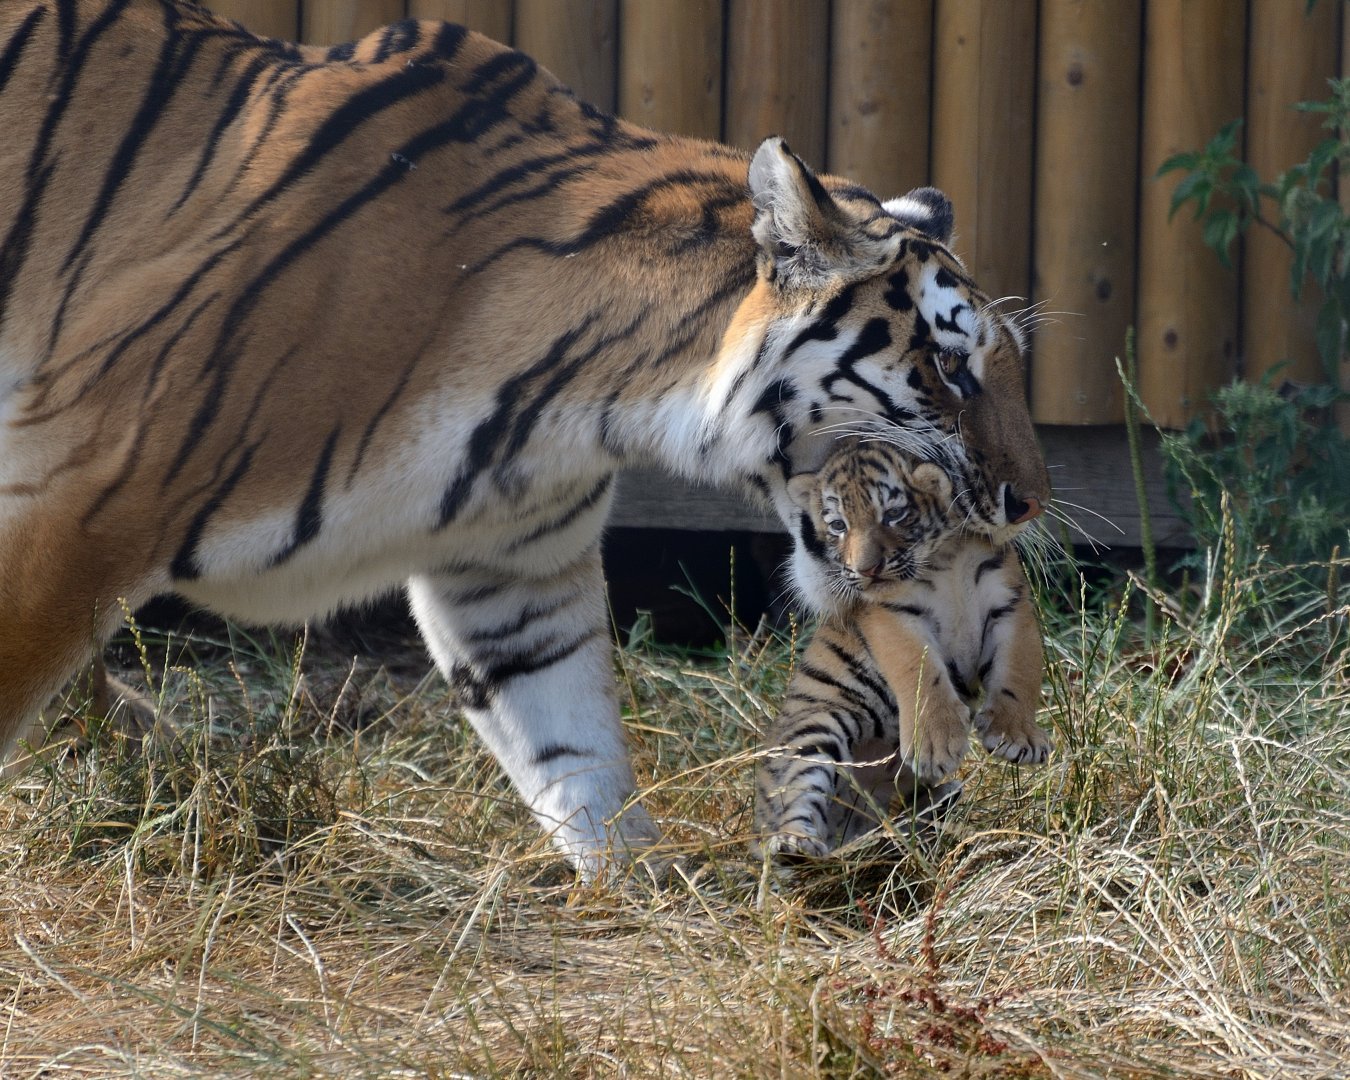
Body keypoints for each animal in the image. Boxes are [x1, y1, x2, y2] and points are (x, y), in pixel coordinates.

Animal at [755, 438, 1052, 860]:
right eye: (838, 526)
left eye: (893, 515)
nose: (866, 570)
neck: (946, 556)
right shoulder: (893, 615)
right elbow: (920, 671)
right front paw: (935, 747)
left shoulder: (1009, 604)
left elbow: (1020, 670)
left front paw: (1017, 738)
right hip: (814, 729)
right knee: (797, 801)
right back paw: (795, 844)